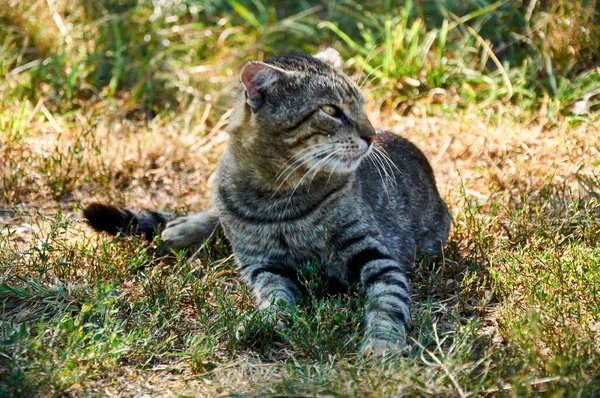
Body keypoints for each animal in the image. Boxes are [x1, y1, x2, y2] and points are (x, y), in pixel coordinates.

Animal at [84, 48, 450, 356]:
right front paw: (266, 323)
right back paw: (181, 228)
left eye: (362, 105)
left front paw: (381, 345)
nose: (370, 135)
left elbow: (387, 303)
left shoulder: (375, 255)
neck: (279, 197)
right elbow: (274, 299)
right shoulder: (263, 265)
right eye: (331, 110)